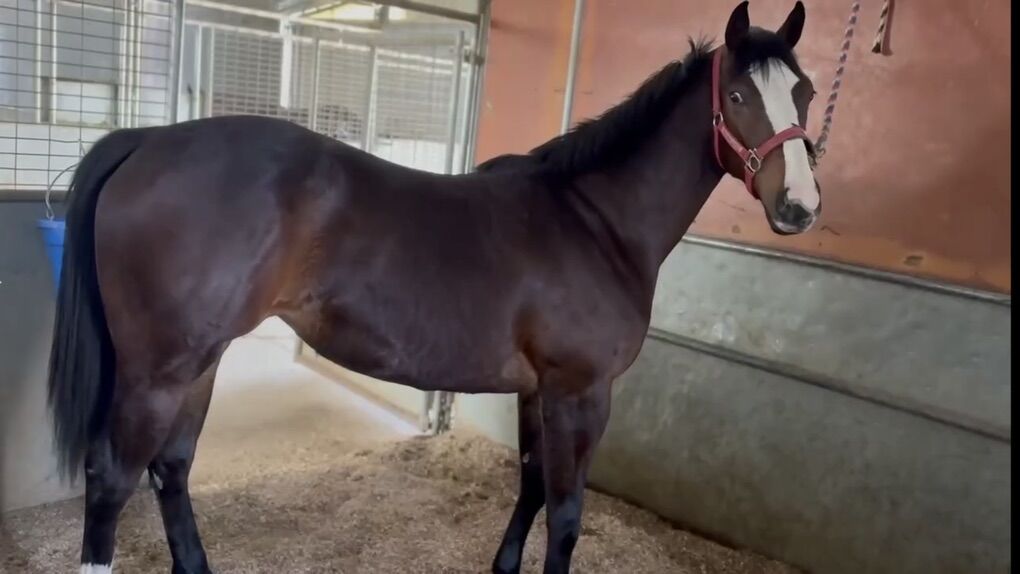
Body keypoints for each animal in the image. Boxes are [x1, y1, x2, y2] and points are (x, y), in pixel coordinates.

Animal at [47, 2, 819, 572]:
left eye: (805, 94)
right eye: (739, 94)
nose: (800, 208)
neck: (593, 218)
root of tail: (146, 140)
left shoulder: (539, 390)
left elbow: (530, 484)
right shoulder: (582, 391)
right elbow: (567, 512)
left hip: (200, 364)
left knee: (170, 470)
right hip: (159, 372)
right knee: (112, 480)